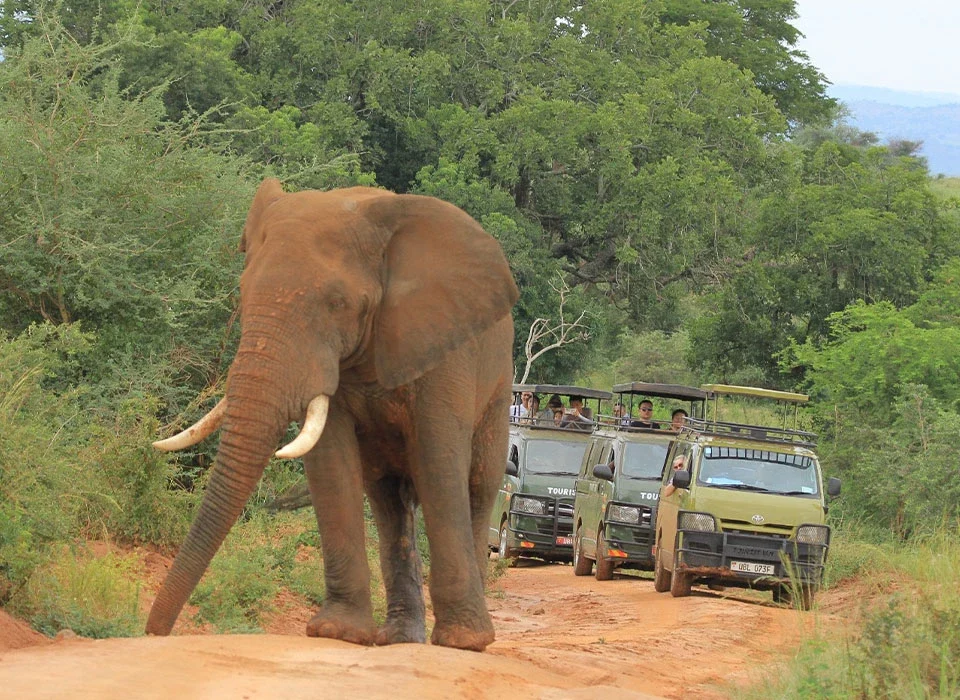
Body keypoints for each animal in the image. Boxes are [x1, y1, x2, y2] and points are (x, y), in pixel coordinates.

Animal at [146, 178, 519, 651]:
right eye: (243, 294)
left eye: (338, 303)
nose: (154, 633)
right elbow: (330, 462)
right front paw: (337, 632)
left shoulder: (444, 345)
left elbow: (438, 461)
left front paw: (461, 643)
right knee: (388, 499)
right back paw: (398, 639)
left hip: (499, 386)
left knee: (477, 486)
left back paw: (468, 638)